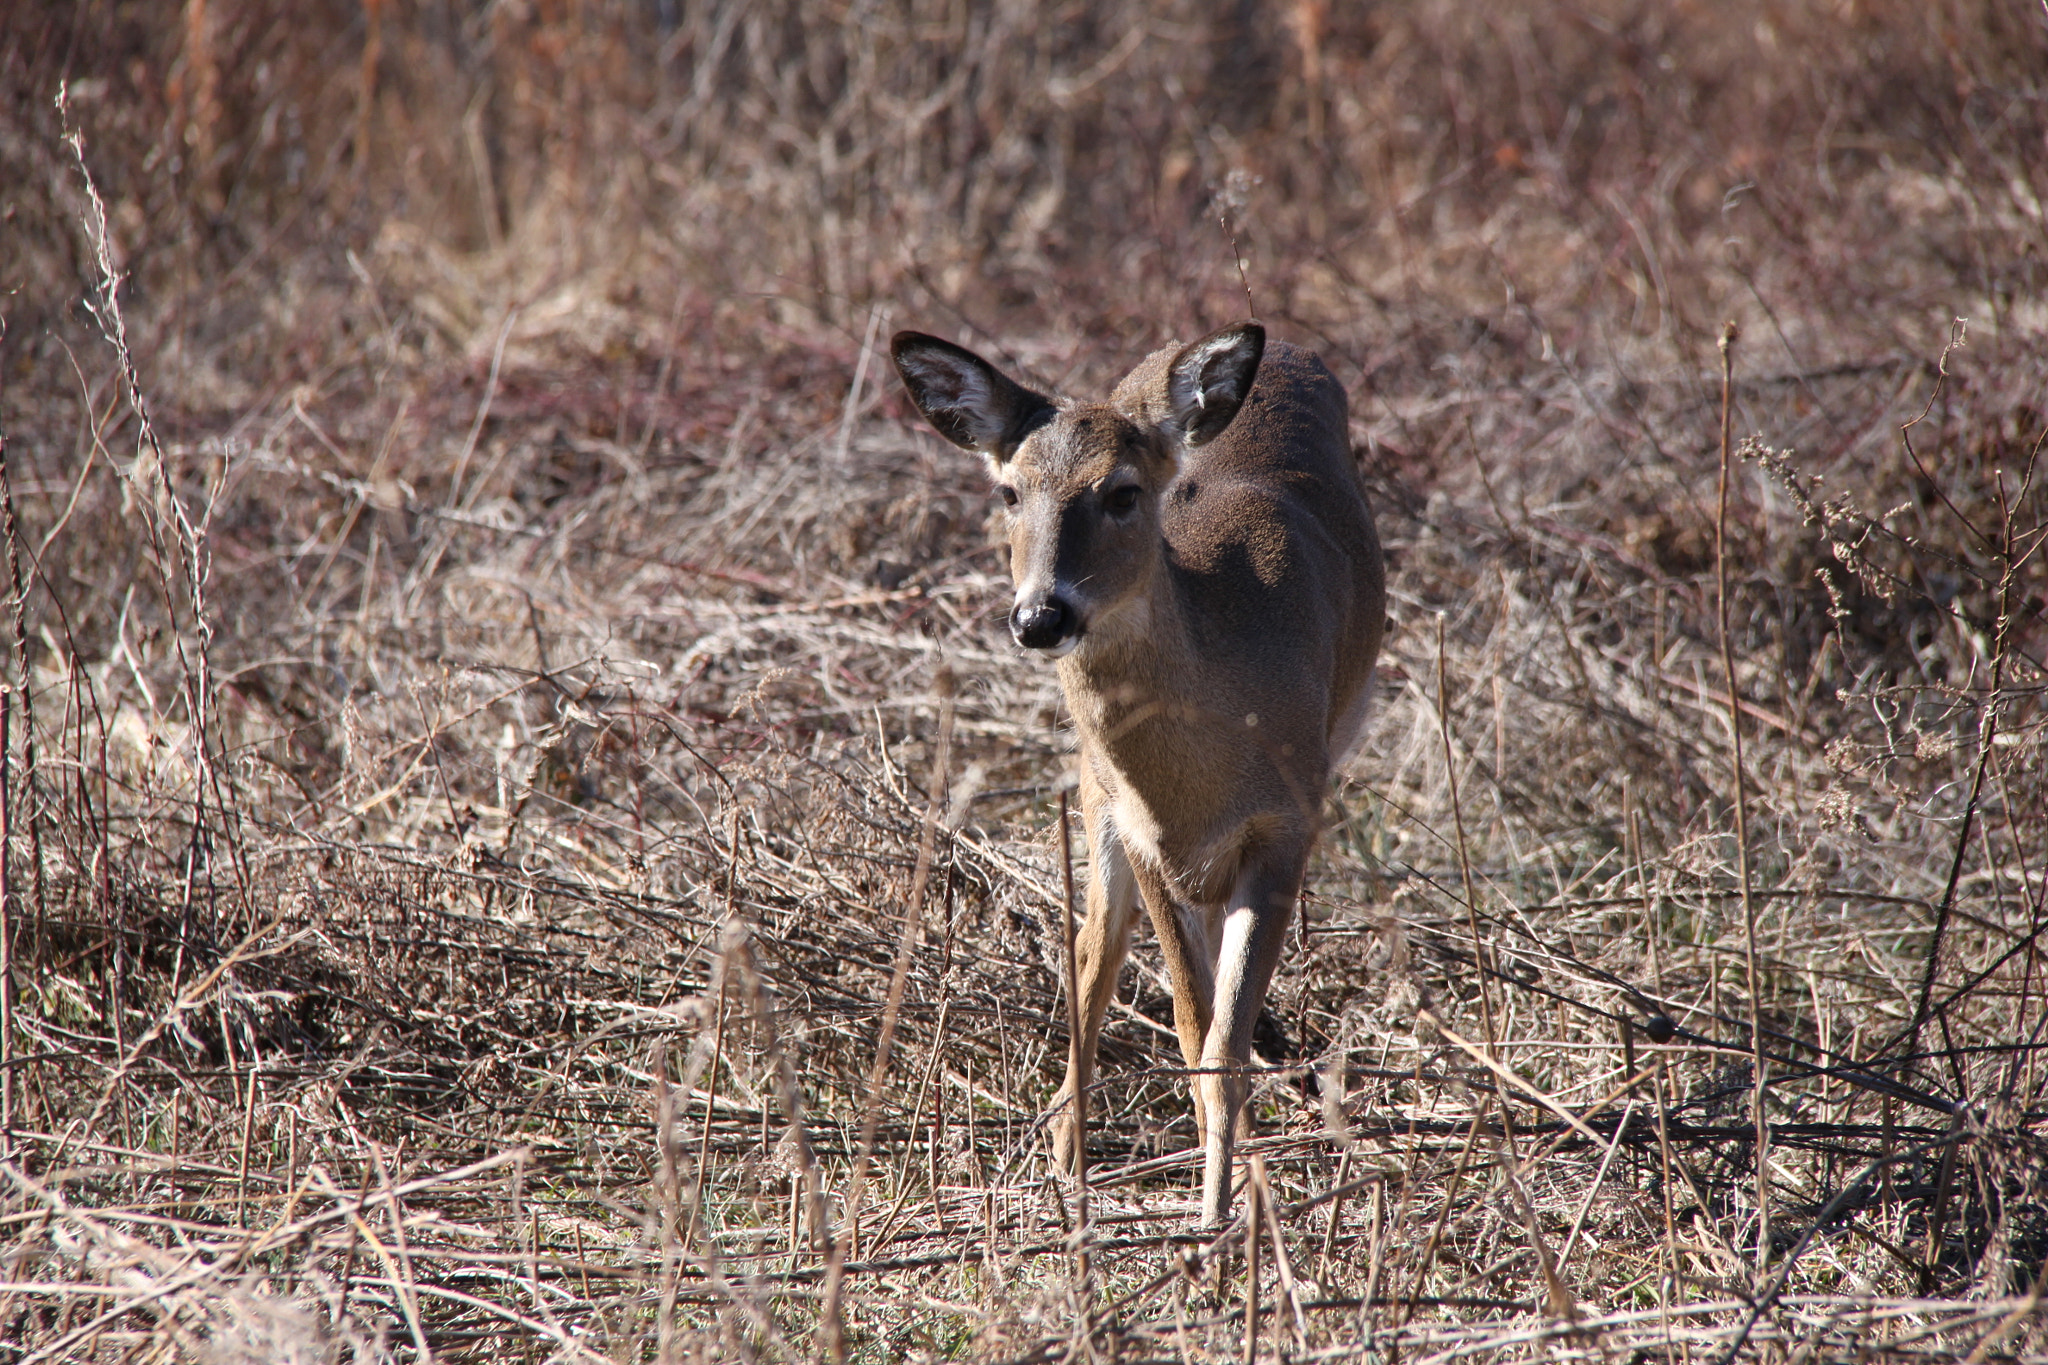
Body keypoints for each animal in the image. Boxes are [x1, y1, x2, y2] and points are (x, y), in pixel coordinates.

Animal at [890, 321, 1385, 1226]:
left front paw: (1227, 1203)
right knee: (1092, 952)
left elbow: (1222, 1036)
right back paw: (1065, 1156)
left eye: (1121, 492)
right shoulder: (1144, 831)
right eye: (1009, 493)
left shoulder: (1289, 822)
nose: (1040, 615)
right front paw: (1218, 1202)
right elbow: (1193, 1025)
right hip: (1095, 797)